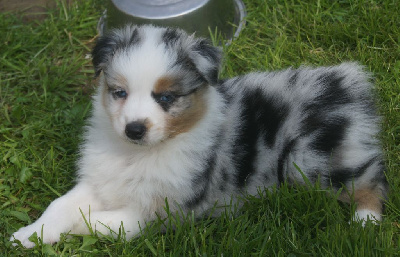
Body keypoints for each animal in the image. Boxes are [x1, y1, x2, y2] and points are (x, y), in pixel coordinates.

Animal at [11, 25, 388, 247]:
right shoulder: (100, 181)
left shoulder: (162, 210)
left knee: (371, 182)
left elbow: (95, 222)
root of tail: (346, 82)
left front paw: (65, 229)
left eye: (166, 98)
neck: (140, 153)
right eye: (119, 93)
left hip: (309, 158)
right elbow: (61, 204)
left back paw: (365, 222)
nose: (134, 129)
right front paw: (28, 235)